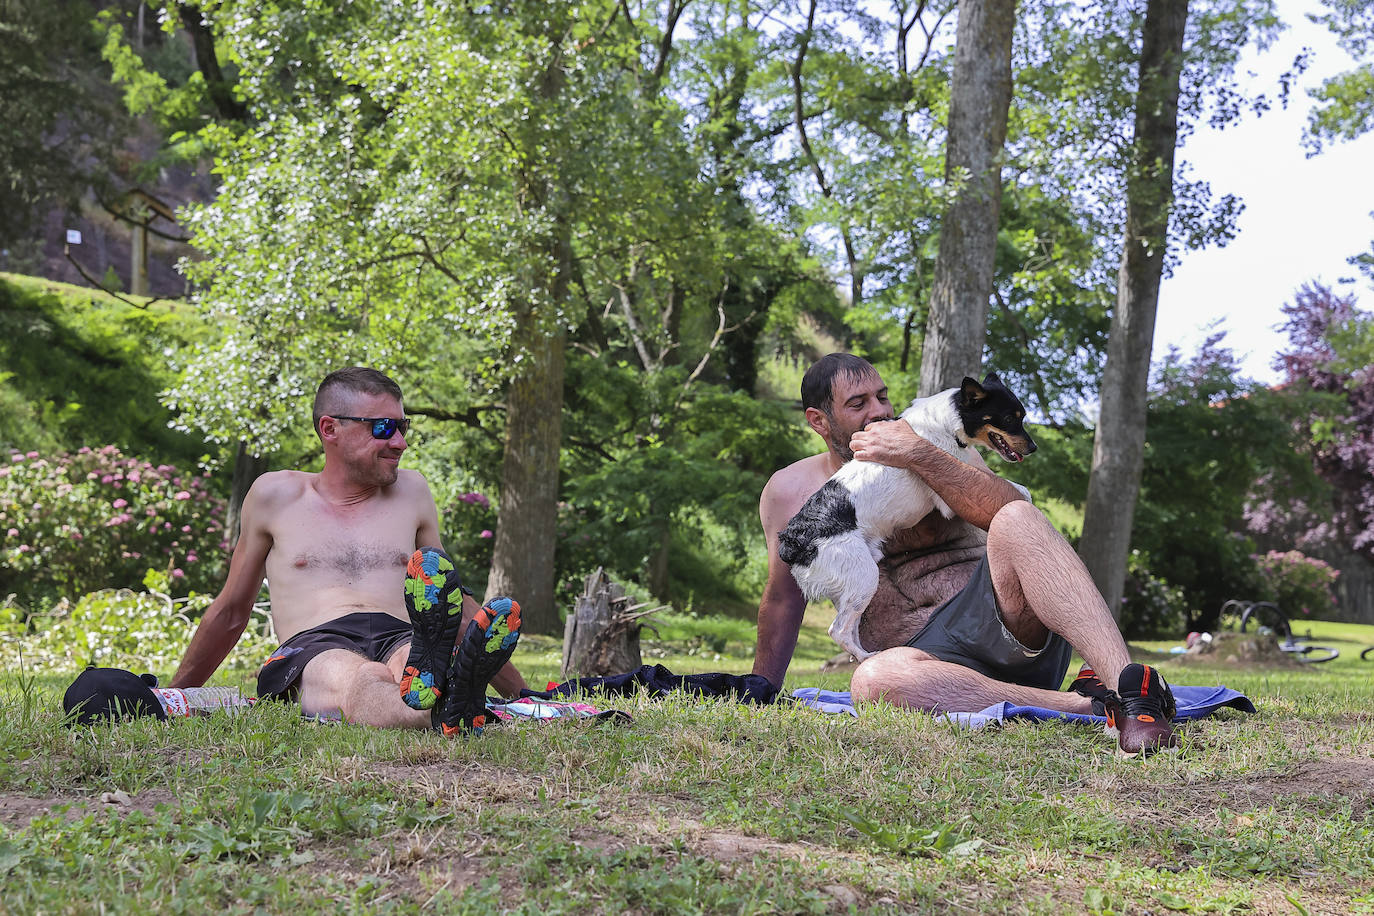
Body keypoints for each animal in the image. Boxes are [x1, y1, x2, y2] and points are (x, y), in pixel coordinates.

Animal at [780, 373, 1033, 659]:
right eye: (1011, 418)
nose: (1033, 447)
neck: (946, 420)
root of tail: (793, 543)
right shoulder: (948, 497)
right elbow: (1022, 492)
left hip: (853, 588)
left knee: (850, 628)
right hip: (864, 577)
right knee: (839, 630)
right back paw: (867, 657)